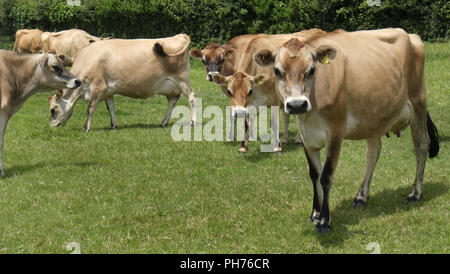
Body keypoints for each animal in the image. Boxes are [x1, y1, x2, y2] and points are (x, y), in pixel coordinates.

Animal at [47, 33, 195, 132]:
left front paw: (86, 128)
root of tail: (179, 36)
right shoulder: (107, 91)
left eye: (53, 110)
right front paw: (113, 125)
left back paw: (193, 122)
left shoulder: (98, 87)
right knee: (172, 101)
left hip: (183, 80)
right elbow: (111, 108)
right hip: (172, 86)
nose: (51, 126)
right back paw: (163, 122)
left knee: (191, 97)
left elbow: (90, 108)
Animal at [253, 28, 440, 233]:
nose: (297, 105)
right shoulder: (306, 137)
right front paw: (315, 213)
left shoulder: (336, 132)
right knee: (373, 153)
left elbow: (326, 176)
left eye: (312, 70)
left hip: (418, 103)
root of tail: (411, 35)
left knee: (421, 146)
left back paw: (415, 193)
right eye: (277, 71)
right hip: (374, 118)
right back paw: (361, 196)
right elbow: (314, 175)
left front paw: (324, 221)